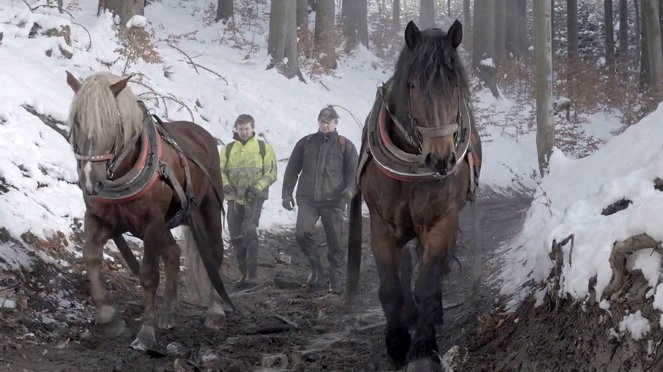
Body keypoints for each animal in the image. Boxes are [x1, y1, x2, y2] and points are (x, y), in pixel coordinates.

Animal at [67, 71, 233, 350]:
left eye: (113, 122)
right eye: (77, 121)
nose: (91, 182)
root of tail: (201, 133)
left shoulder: (153, 223)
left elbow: (149, 275)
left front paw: (145, 333)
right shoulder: (99, 219)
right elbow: (90, 258)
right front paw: (109, 318)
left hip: (207, 208)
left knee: (213, 253)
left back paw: (216, 311)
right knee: (174, 253)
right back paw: (167, 312)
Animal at [348, 21, 482, 370]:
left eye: (455, 84)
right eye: (412, 85)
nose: (442, 159)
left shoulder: (442, 221)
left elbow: (427, 284)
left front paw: (424, 347)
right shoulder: (380, 224)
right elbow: (390, 288)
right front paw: (396, 343)